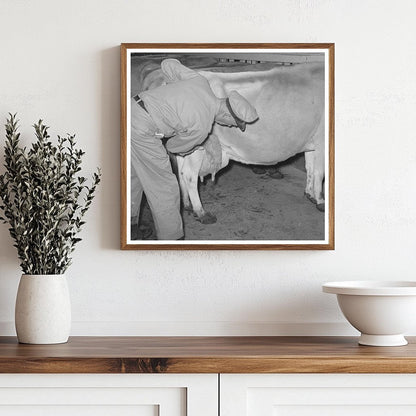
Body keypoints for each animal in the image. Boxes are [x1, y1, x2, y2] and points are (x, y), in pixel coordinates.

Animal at [130, 58, 324, 224]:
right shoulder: (322, 141)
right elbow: (320, 173)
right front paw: (321, 201)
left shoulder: (312, 141)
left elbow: (310, 168)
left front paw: (310, 194)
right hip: (196, 146)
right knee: (189, 175)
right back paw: (202, 212)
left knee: (181, 170)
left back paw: (187, 204)